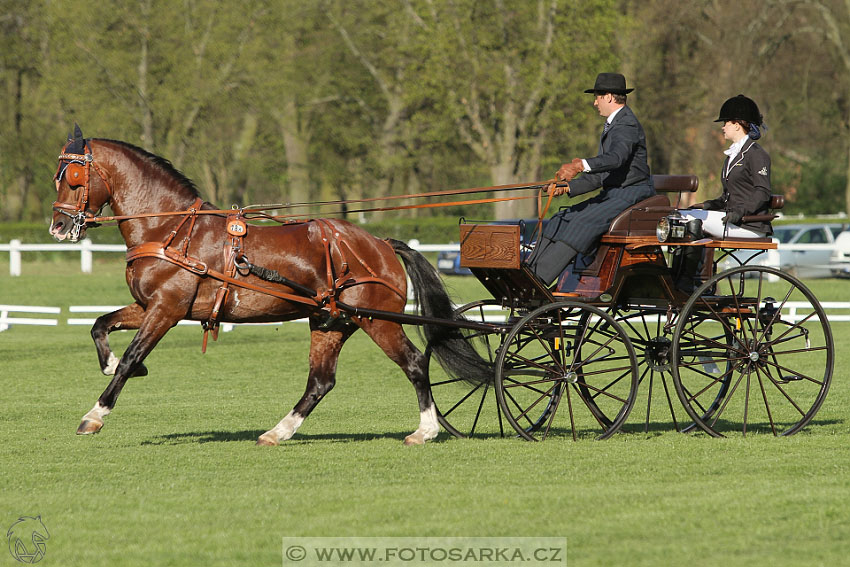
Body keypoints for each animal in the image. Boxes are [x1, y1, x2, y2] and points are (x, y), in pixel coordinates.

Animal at [51, 126, 490, 446]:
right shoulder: (149, 306)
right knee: (321, 381)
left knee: (414, 363)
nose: (58, 226)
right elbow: (100, 326)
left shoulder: (167, 309)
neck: (172, 229)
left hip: (376, 319)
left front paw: (95, 415)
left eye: (72, 177)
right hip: (331, 322)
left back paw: (425, 431)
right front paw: (110, 364)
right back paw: (279, 432)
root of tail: (380, 243)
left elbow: (130, 357)